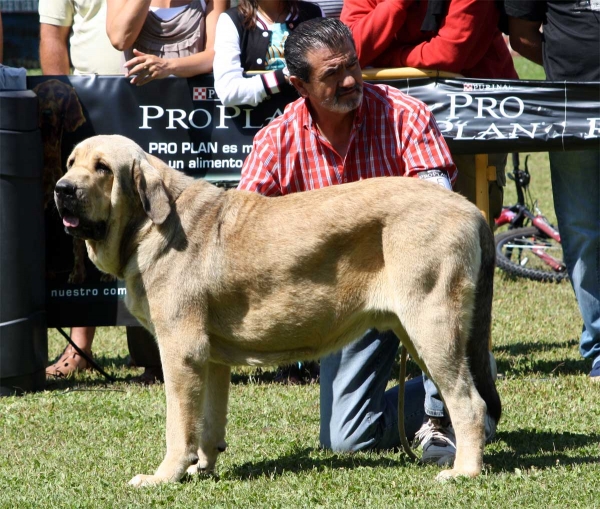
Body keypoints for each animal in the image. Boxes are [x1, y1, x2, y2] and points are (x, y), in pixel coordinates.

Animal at [54, 134, 500, 484]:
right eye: (71, 163)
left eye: (103, 168)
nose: (62, 189)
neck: (149, 224)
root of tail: (470, 209)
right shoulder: (210, 358)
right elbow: (209, 421)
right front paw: (203, 468)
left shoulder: (180, 350)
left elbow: (178, 426)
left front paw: (164, 475)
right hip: (418, 331)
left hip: (431, 326)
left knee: (468, 403)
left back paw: (464, 470)